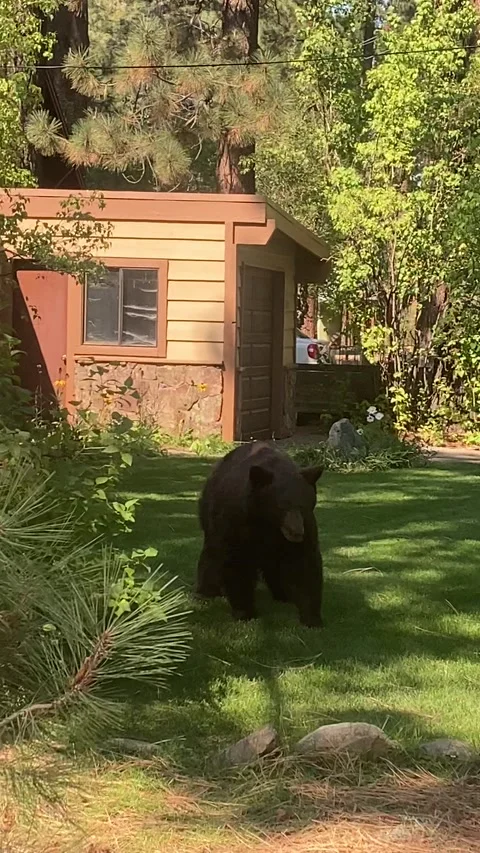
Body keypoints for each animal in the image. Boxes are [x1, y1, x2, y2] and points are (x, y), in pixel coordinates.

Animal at [195, 441, 324, 627]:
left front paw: (312, 618)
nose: (296, 532)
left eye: (304, 505)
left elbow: (306, 563)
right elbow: (237, 562)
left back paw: (283, 594)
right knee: (212, 554)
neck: (268, 522)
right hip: (211, 515)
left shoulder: (305, 526)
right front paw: (245, 612)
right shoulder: (238, 521)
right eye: (282, 506)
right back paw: (206, 591)